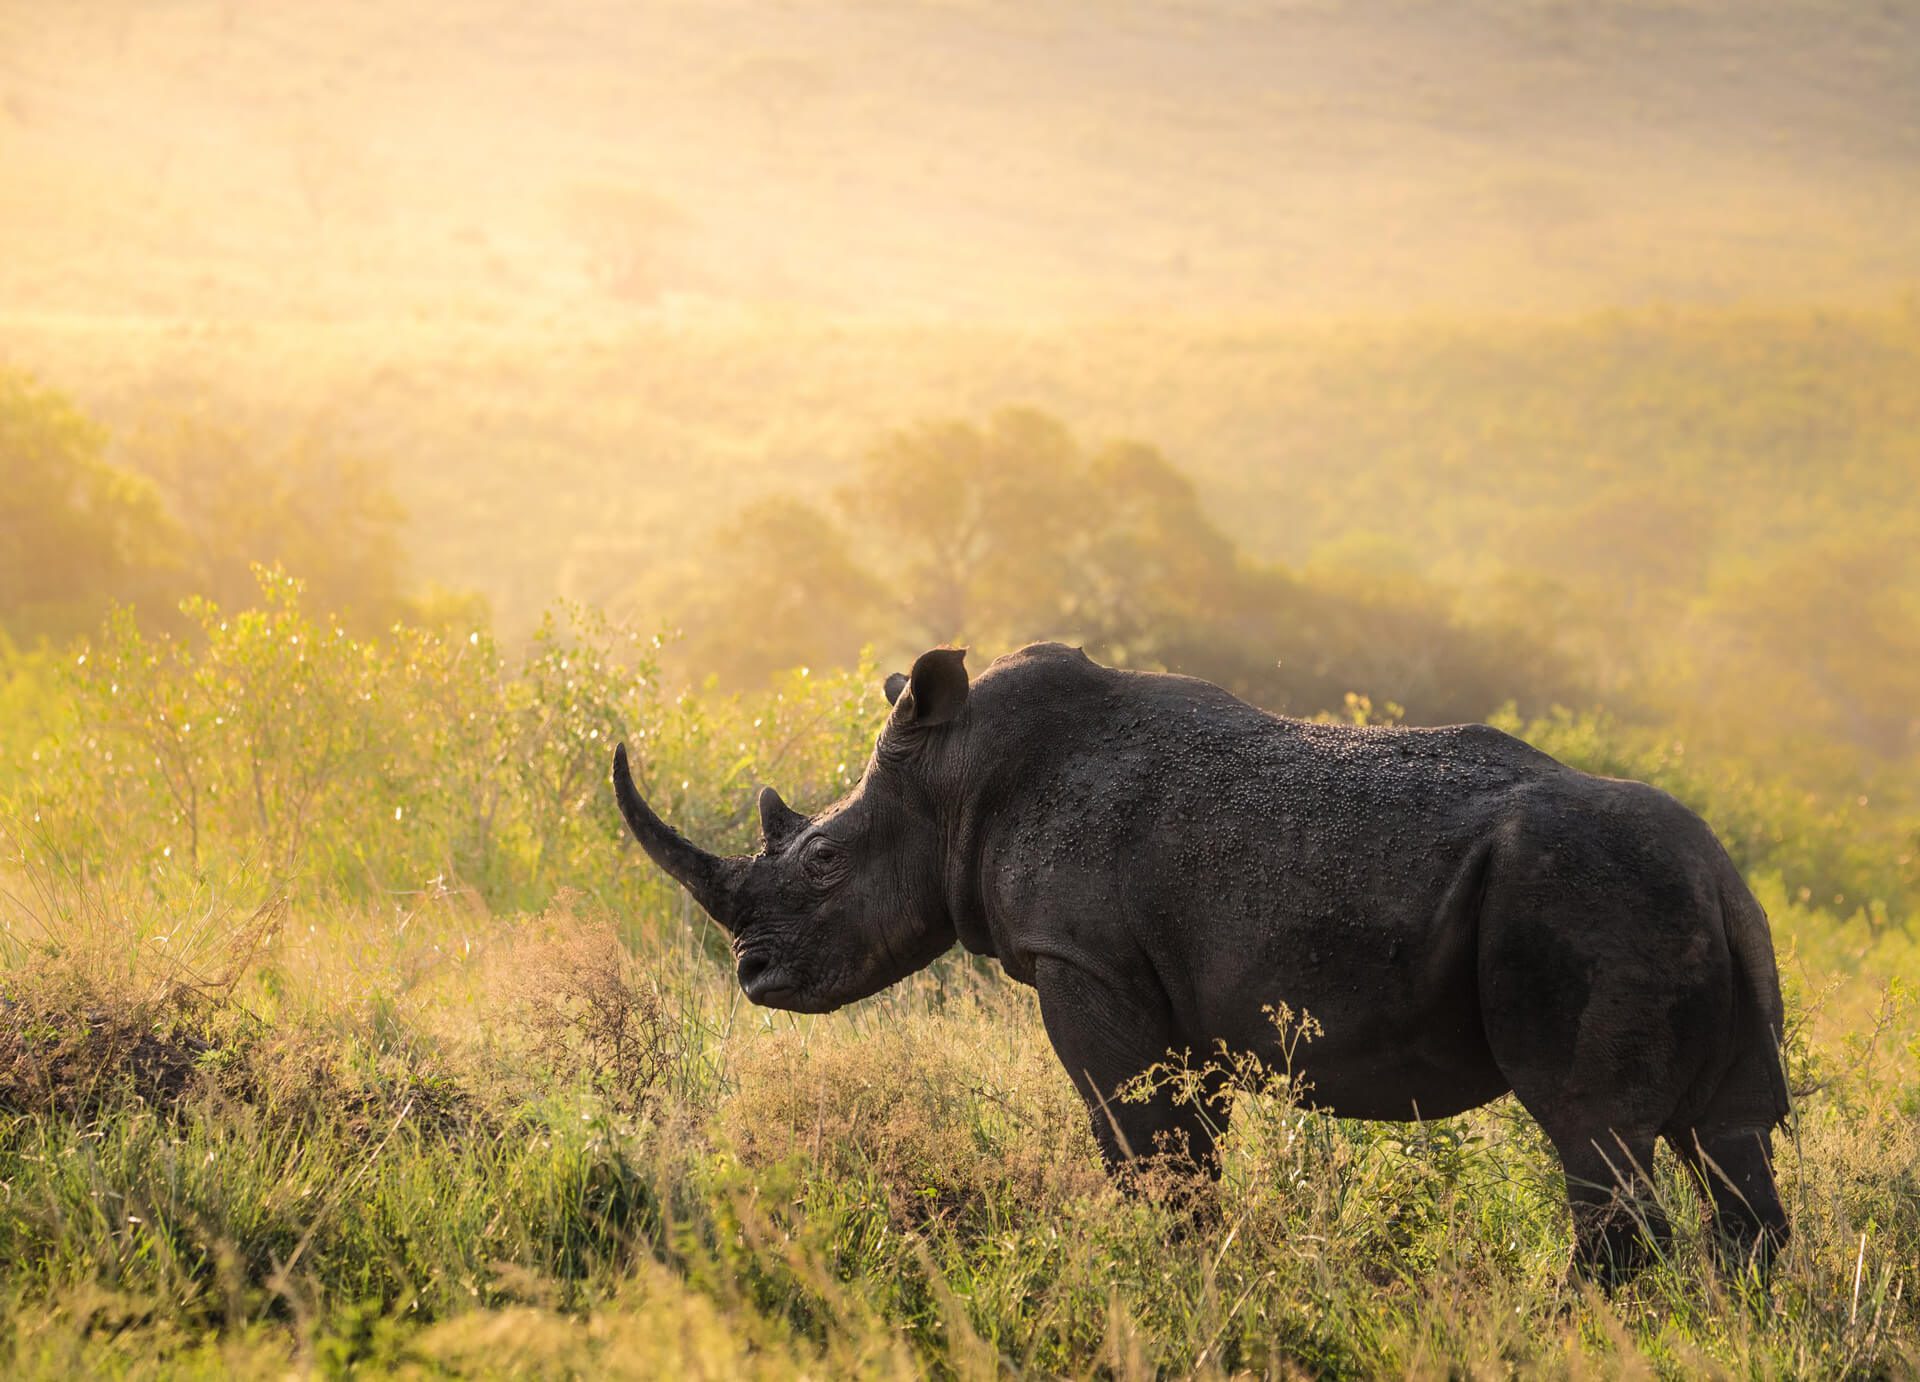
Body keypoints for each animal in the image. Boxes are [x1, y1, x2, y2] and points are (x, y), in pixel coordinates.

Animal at [612, 642, 1790, 1279]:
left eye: (822, 864)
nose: (751, 975)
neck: (955, 773)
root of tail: (1723, 873)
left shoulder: (1083, 961)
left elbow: (1136, 1137)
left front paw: (1153, 1266)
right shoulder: (1176, 993)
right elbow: (1187, 1146)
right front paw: (1199, 1262)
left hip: (1584, 900)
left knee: (1595, 1136)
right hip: (1682, 905)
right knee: (1726, 1138)